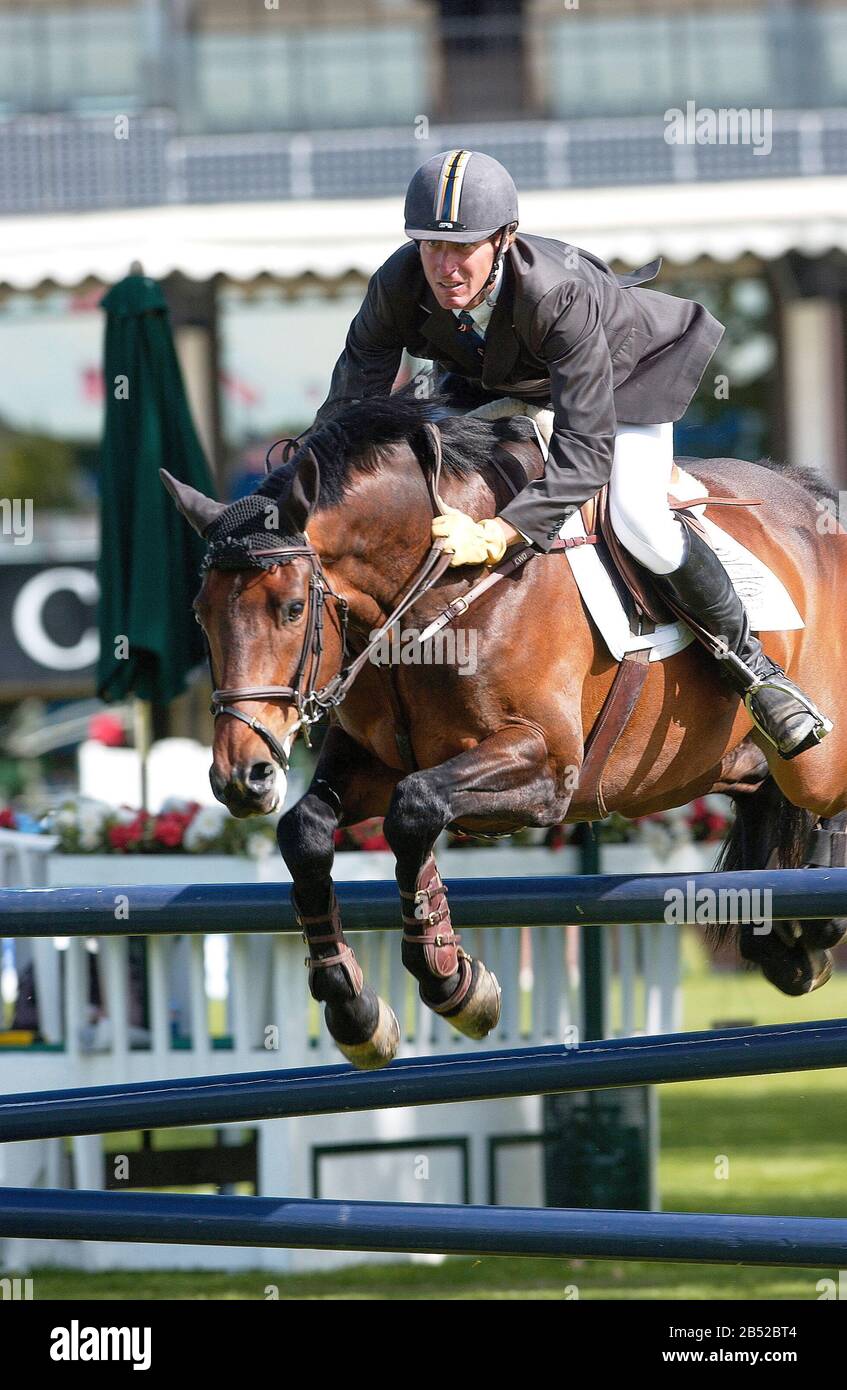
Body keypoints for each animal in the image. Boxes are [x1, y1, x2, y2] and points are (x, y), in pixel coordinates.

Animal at [162, 397, 845, 1067]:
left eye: (293, 609)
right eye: (199, 614)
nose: (242, 777)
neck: (434, 590)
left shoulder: (549, 769)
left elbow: (414, 808)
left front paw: (452, 982)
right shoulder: (371, 762)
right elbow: (310, 830)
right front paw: (355, 1006)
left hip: (813, 765)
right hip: (738, 763)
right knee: (765, 799)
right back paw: (792, 940)